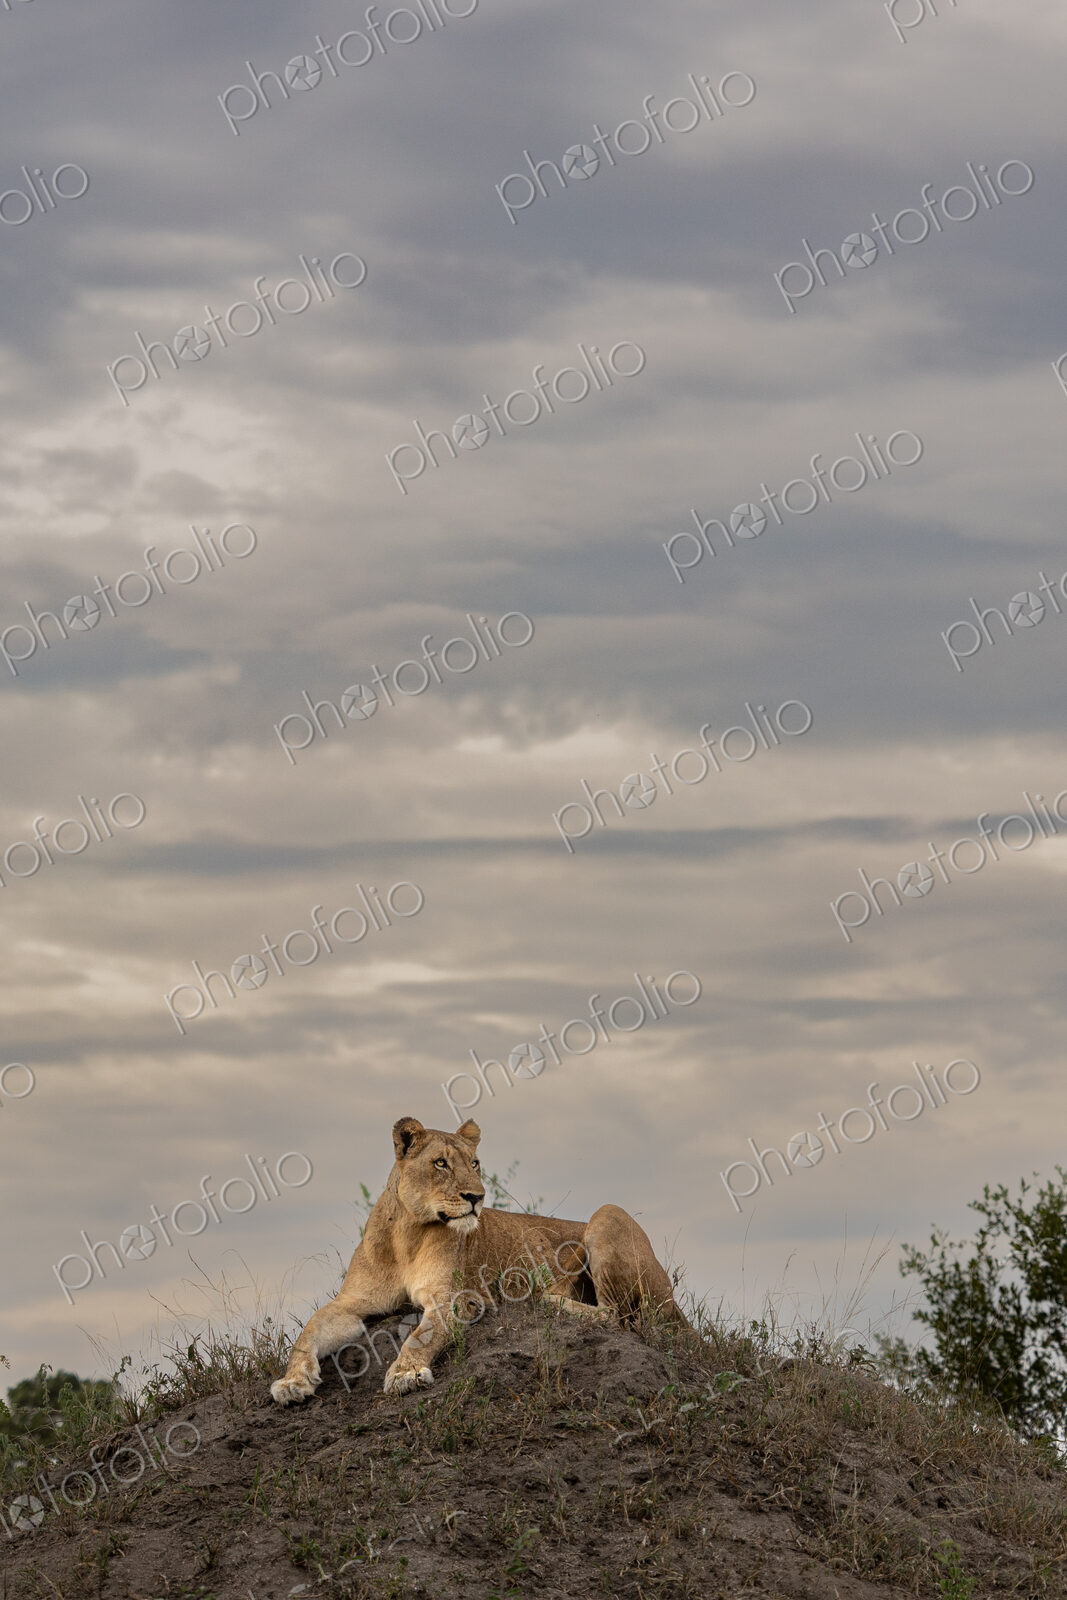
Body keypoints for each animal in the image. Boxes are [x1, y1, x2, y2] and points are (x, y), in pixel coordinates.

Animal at [270, 1115, 685, 1404]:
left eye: (475, 1163)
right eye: (440, 1163)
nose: (477, 1197)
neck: (408, 1234)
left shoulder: (457, 1297)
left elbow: (421, 1336)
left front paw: (406, 1374)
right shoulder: (352, 1303)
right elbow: (308, 1332)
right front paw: (292, 1382)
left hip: (607, 1213)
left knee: (619, 1316)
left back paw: (549, 1298)